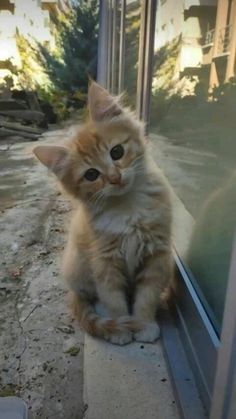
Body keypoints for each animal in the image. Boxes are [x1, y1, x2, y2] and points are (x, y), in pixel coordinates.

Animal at [33, 82, 173, 344]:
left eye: (117, 152)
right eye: (91, 175)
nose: (115, 178)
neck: (127, 207)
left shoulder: (157, 254)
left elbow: (147, 295)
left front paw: (144, 324)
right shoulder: (104, 260)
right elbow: (113, 299)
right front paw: (121, 328)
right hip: (78, 266)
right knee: (91, 296)